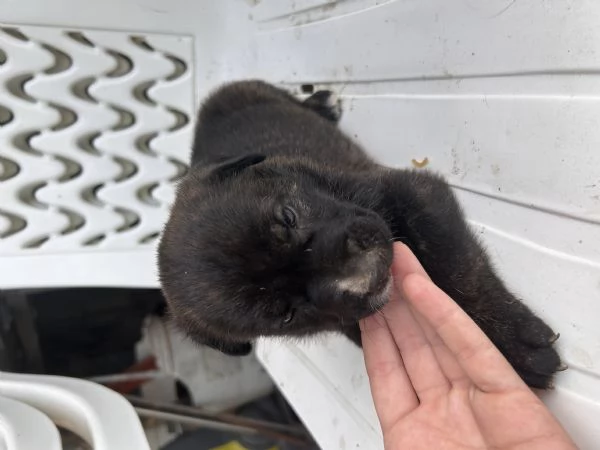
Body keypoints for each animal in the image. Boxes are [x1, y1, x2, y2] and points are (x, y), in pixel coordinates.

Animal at [158, 79, 564, 388]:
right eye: (286, 315)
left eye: (288, 217)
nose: (364, 277)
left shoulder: (415, 193)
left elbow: (462, 271)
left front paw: (515, 345)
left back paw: (321, 101)